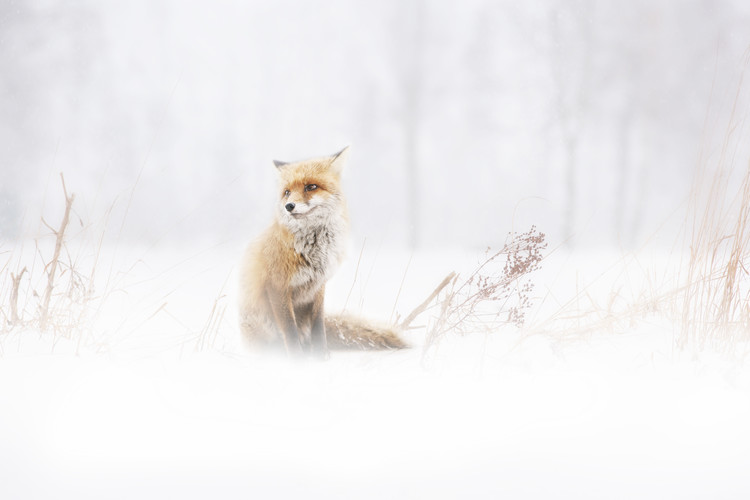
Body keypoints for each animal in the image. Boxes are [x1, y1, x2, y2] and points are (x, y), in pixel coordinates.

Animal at [239, 146, 406, 356]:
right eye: (287, 192)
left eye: (311, 187)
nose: (289, 206)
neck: (314, 252)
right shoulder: (277, 286)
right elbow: (290, 330)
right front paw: (297, 359)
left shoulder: (319, 286)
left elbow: (318, 325)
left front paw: (321, 356)